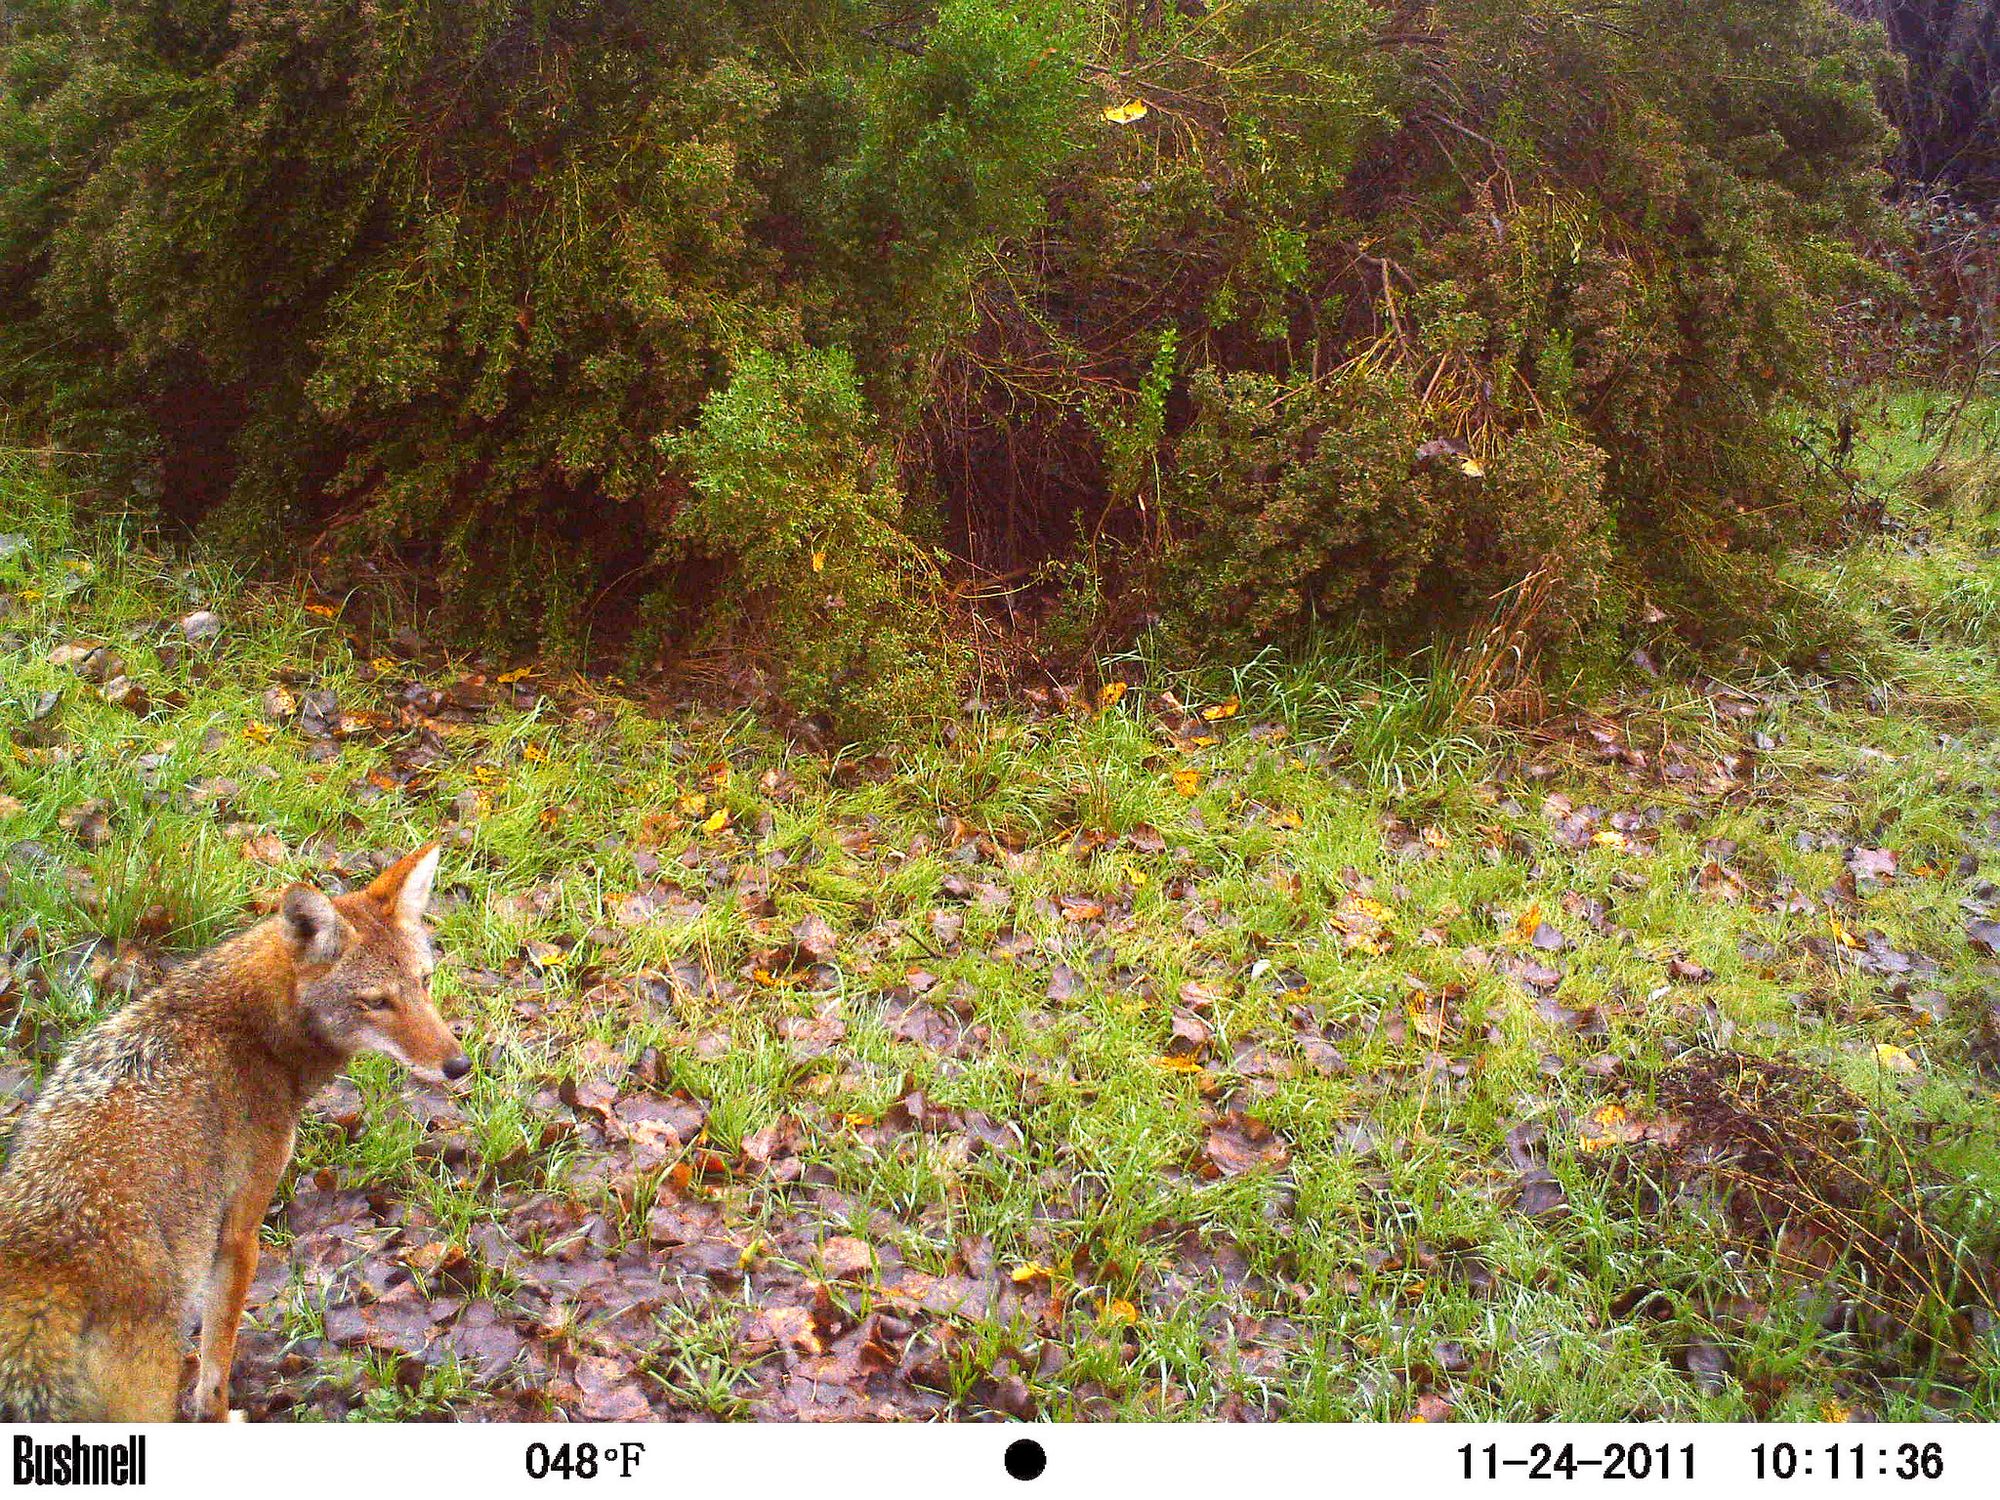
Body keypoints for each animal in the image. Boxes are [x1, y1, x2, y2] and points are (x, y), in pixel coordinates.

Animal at [0, 848, 468, 1424]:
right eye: (376, 1002)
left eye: (424, 982)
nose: (458, 1065)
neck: (255, 1035)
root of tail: (42, 1286)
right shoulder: (240, 1235)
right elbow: (216, 1367)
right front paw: (222, 1415)